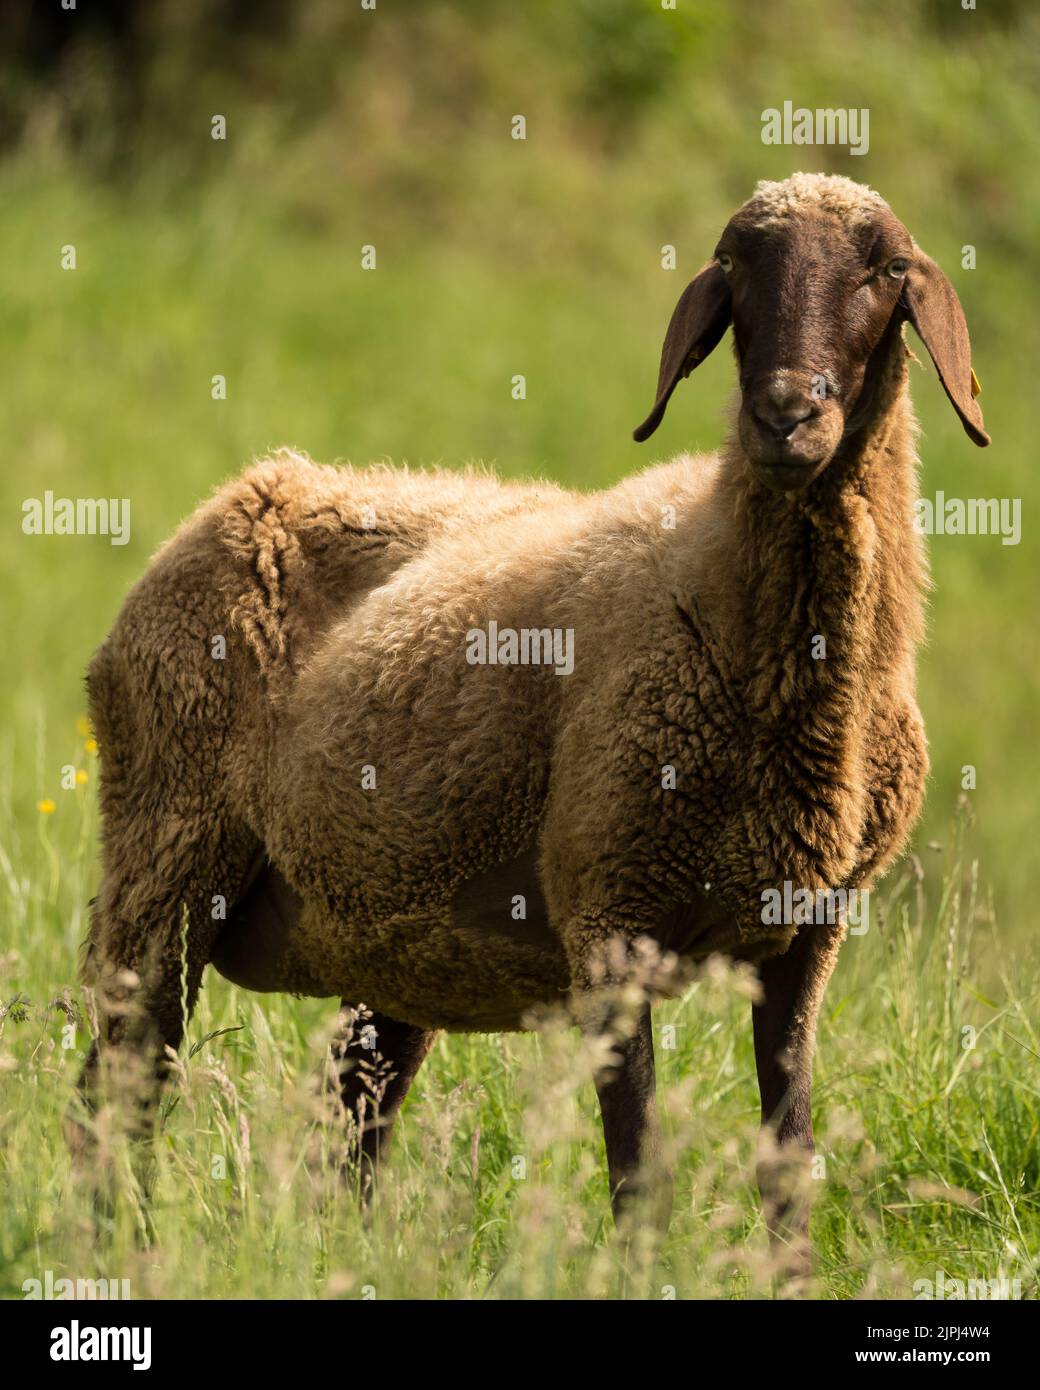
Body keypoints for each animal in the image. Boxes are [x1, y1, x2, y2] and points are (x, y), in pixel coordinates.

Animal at [77, 173, 989, 1262]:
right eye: (734, 269)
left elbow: (786, 1158)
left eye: (886, 269)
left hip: (381, 930)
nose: (781, 415)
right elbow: (636, 1165)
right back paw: (111, 1248)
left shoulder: (806, 934)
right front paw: (643, 1275)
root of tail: (244, 487)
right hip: (163, 857)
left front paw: (787, 1274)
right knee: (115, 1092)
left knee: (349, 1133)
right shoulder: (609, 913)